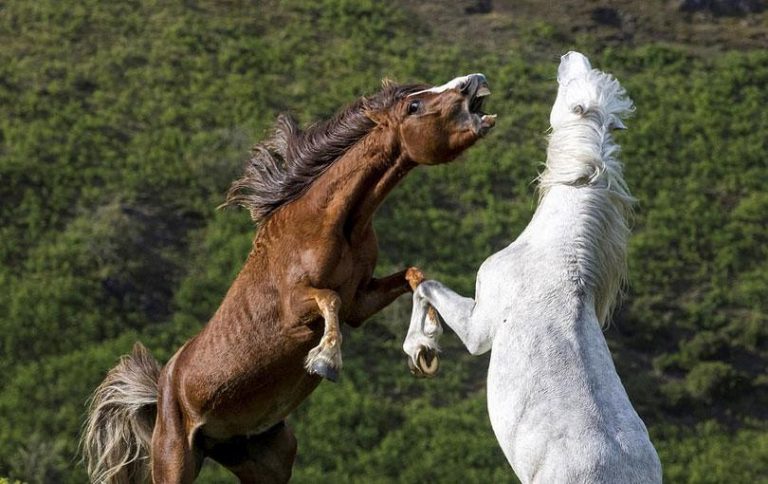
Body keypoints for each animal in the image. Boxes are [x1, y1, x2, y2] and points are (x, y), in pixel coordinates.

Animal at [82, 73, 496, 483]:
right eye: (413, 105)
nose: (474, 81)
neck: (334, 223)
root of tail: (160, 388)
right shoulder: (297, 309)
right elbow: (329, 299)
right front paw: (325, 360)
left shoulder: (360, 302)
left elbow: (414, 276)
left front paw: (423, 350)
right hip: (174, 459)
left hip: (266, 457)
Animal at [403, 52, 662, 483]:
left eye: (568, 90)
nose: (569, 56)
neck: (554, 256)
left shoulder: (478, 329)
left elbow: (425, 287)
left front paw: (421, 349)